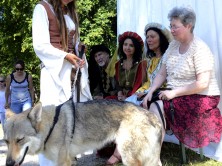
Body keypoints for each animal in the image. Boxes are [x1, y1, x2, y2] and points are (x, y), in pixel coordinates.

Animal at [3, 99, 162, 165]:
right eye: (6, 141)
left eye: (20, 140)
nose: (9, 164)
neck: (51, 127)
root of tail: (153, 115)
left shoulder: (63, 162)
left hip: (129, 158)